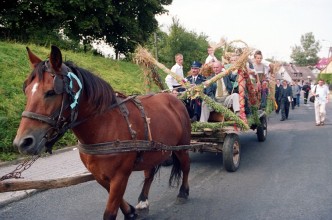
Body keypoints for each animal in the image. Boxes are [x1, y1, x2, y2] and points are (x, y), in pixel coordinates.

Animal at [13, 45, 192, 219]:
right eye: (26, 91)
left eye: (50, 92)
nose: (22, 142)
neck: (103, 125)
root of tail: (176, 99)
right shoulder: (100, 175)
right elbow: (117, 200)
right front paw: (130, 211)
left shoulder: (120, 176)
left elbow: (110, 212)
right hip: (152, 150)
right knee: (149, 173)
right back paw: (143, 200)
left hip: (182, 146)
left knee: (186, 166)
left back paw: (183, 192)